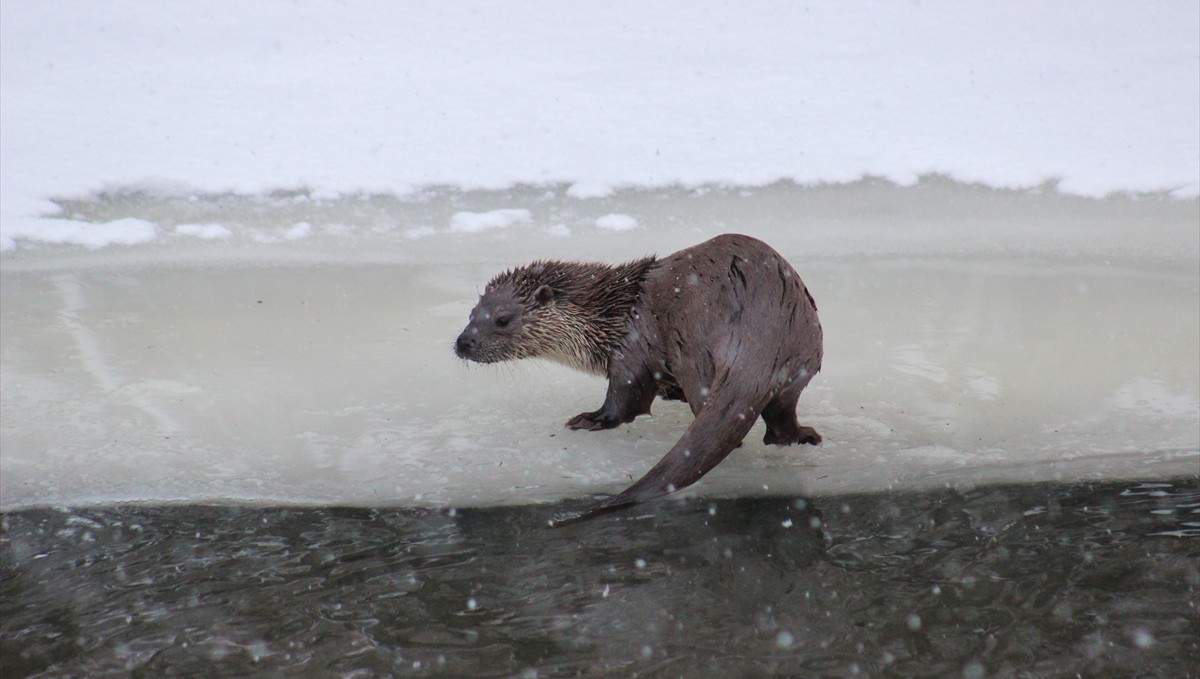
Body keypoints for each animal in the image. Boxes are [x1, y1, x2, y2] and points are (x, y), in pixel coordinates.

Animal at [453, 233, 820, 527]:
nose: (463, 342)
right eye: (472, 314)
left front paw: (590, 420)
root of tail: (759, 333)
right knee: (782, 412)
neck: (607, 318)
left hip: (693, 349)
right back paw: (802, 436)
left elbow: (625, 399)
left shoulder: (628, 348)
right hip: (803, 354)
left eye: (502, 320)